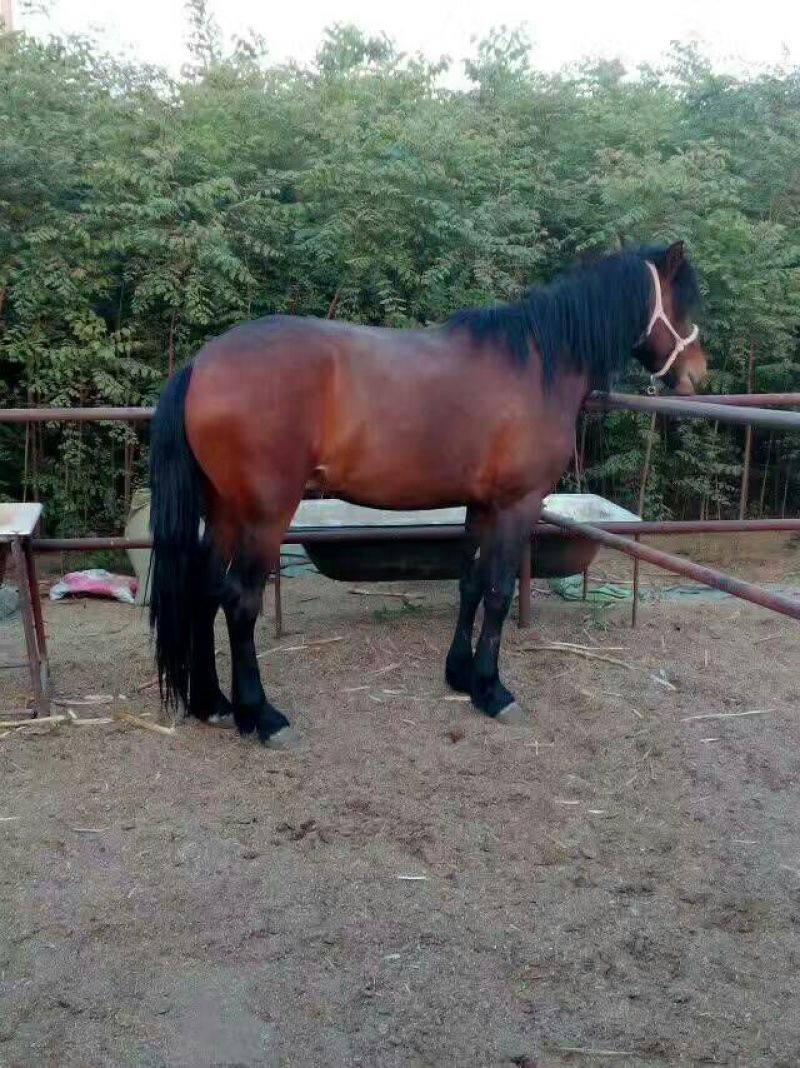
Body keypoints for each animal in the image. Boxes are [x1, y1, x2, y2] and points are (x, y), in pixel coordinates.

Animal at [148, 240, 707, 747]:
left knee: (204, 590)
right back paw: (261, 716)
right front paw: (492, 691)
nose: (697, 373)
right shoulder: (517, 505)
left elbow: (471, 583)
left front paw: (460, 674)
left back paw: (212, 704)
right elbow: (499, 591)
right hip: (265, 516)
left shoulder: (481, 504)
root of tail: (200, 364)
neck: (537, 364)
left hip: (224, 510)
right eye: (685, 302)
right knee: (240, 602)